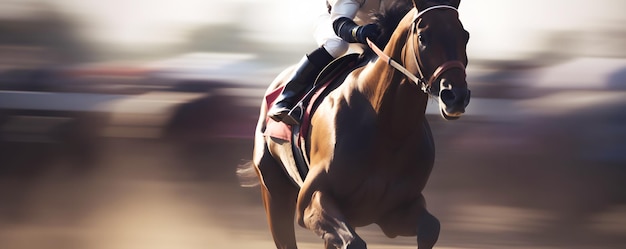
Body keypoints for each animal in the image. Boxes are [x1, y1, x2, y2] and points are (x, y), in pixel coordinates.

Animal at [239, 0, 468, 248]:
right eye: (423, 37)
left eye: (465, 35)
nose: (455, 96)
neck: (386, 126)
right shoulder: (311, 201)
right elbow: (353, 242)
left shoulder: (394, 211)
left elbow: (430, 228)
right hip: (274, 192)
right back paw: (282, 105)